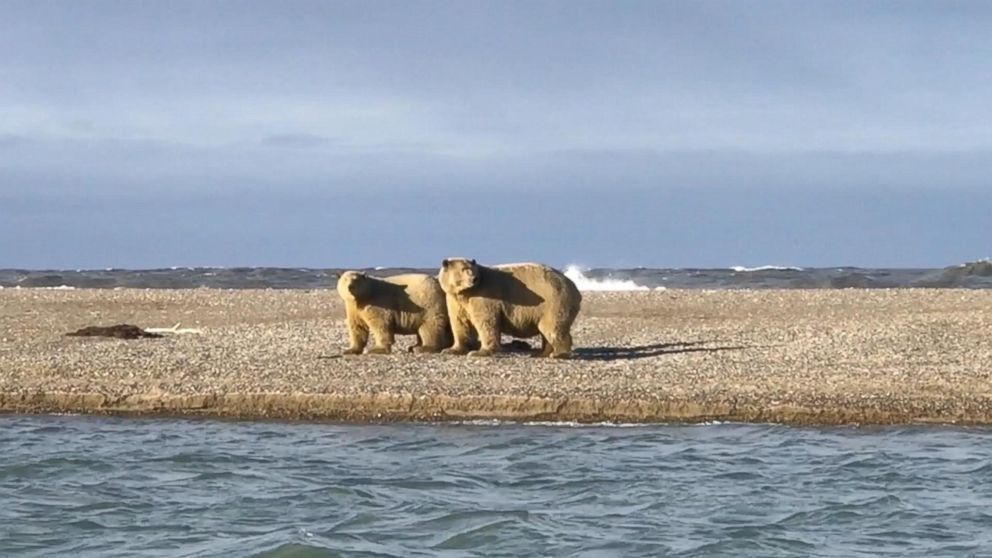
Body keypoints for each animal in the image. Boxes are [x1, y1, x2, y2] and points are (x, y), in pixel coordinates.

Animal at [436, 260, 580, 358]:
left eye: (471, 269)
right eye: (463, 269)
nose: (474, 278)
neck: (466, 292)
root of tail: (574, 286)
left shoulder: (483, 295)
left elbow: (486, 322)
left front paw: (480, 351)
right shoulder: (455, 299)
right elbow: (459, 322)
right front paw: (452, 349)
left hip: (553, 301)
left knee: (552, 327)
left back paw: (558, 353)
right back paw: (543, 352)